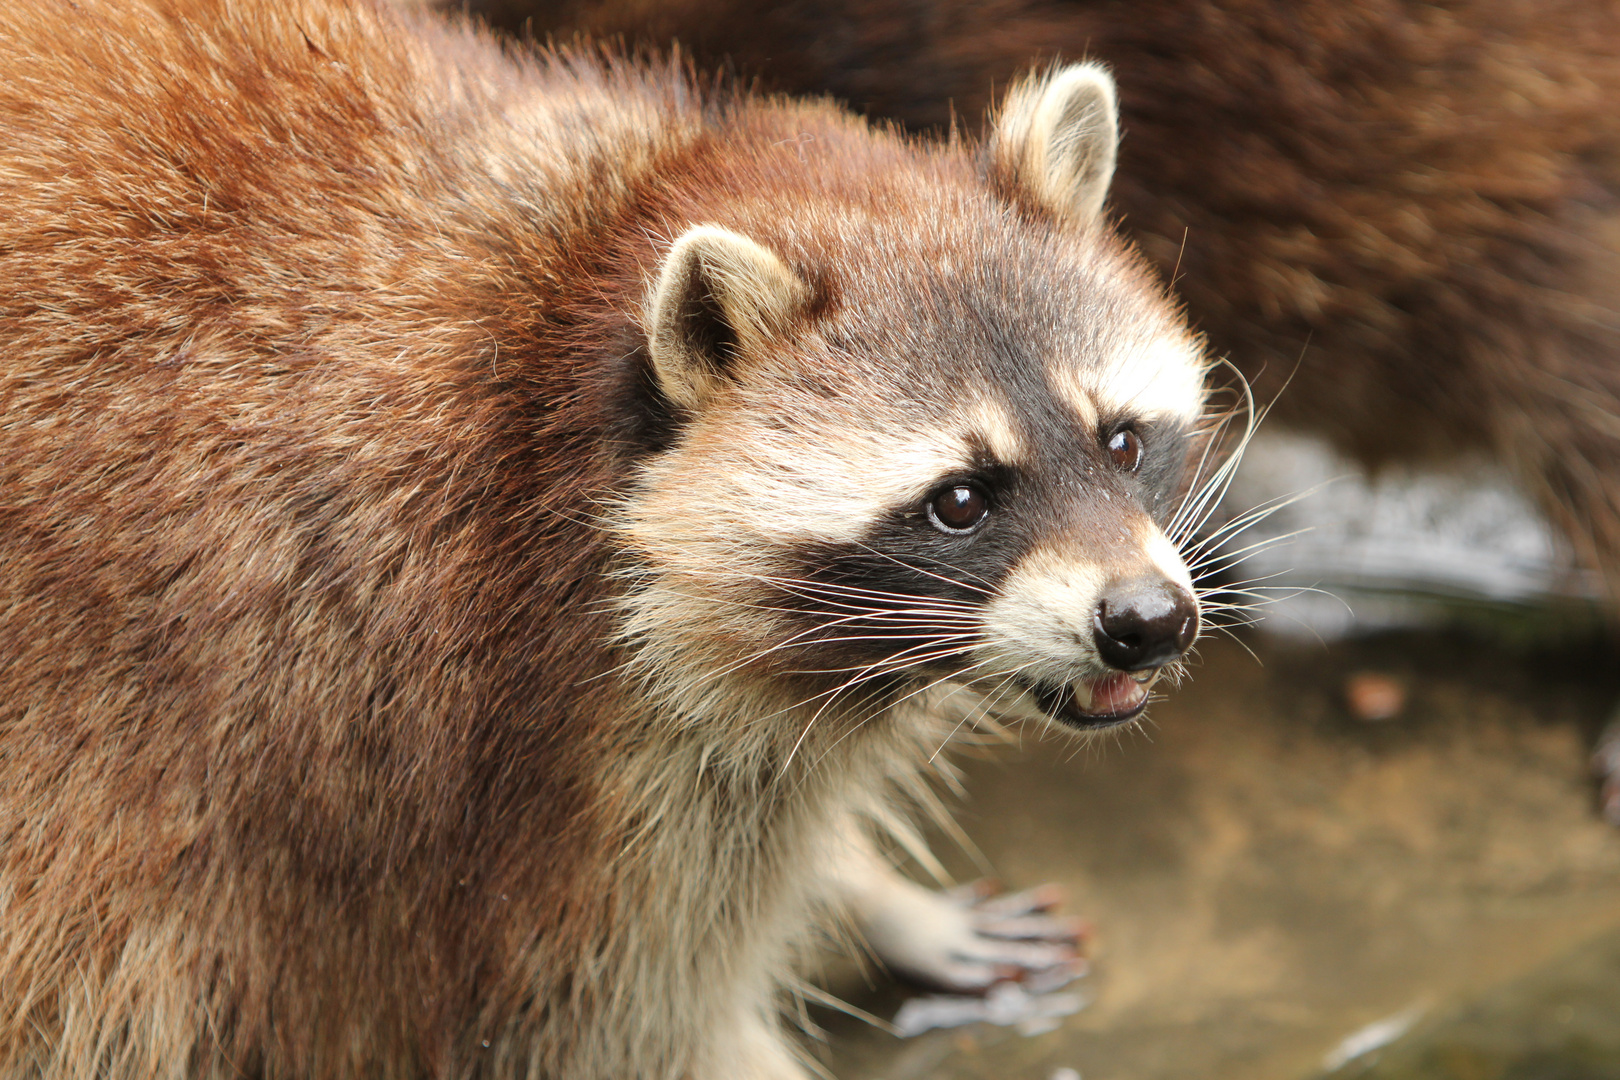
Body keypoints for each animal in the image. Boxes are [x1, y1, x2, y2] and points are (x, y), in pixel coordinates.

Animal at [0, 2, 1211, 1080]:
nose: (1147, 621)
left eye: (1120, 442)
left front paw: (872, 894)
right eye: (961, 501)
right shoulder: (469, 773)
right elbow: (618, 1033)